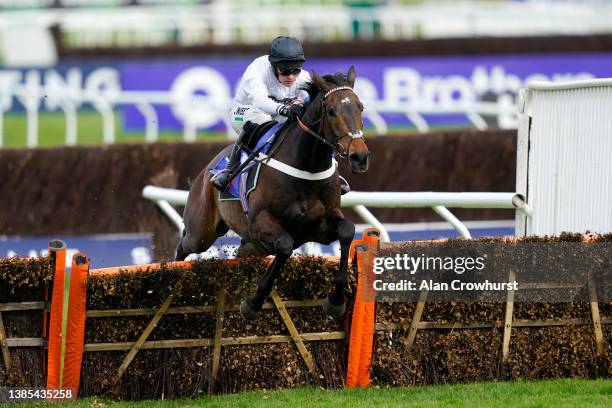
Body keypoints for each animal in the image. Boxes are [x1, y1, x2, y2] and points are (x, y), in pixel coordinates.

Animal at [175, 67, 370, 320]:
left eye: (360, 107)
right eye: (331, 111)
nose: (360, 157)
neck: (307, 168)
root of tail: (207, 169)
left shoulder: (319, 227)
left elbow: (347, 231)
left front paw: (336, 300)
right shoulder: (260, 223)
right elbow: (285, 246)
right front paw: (253, 303)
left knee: (242, 251)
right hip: (201, 230)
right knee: (183, 247)